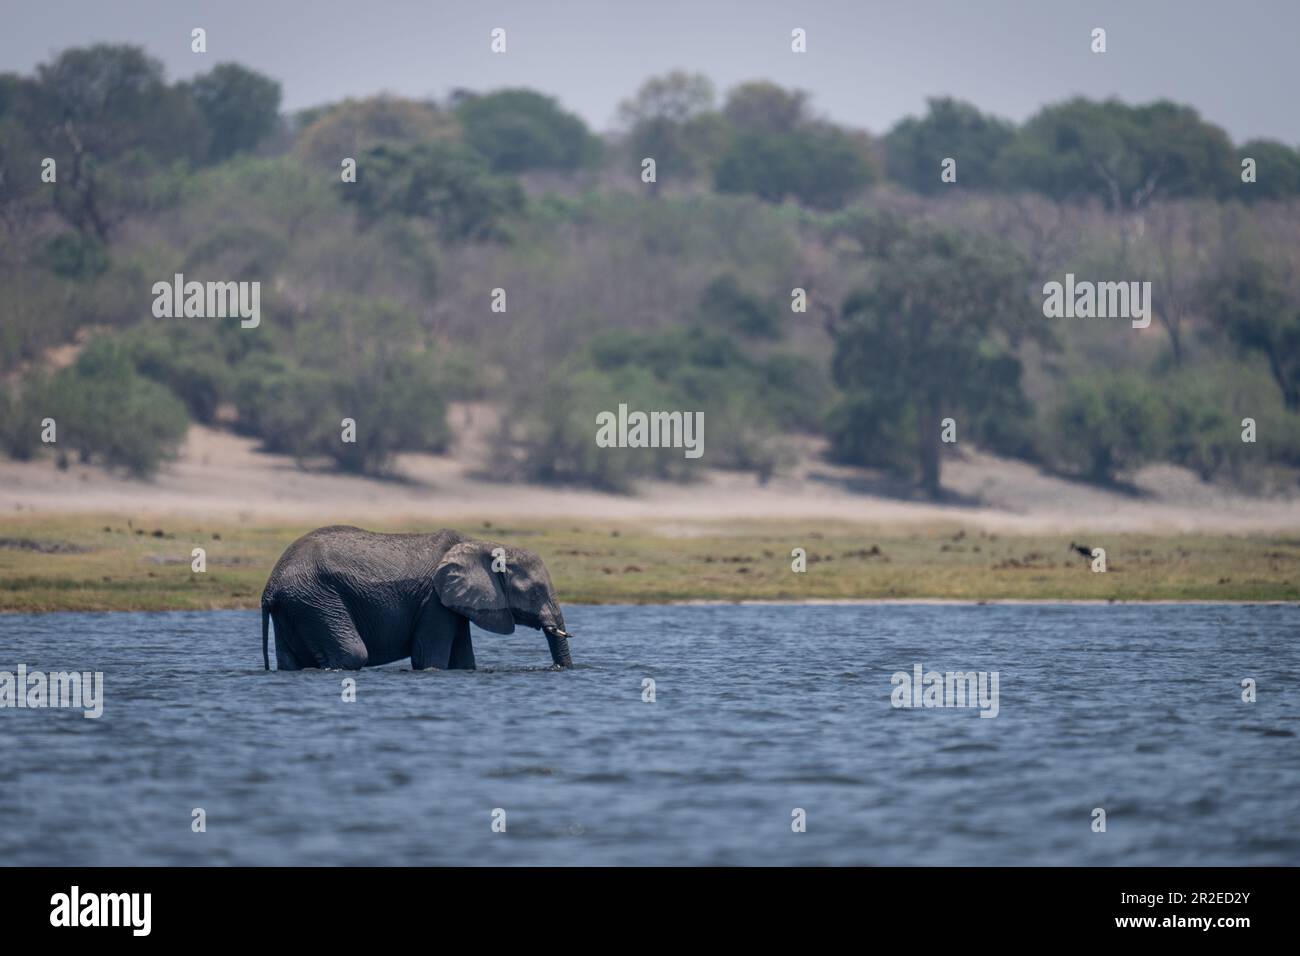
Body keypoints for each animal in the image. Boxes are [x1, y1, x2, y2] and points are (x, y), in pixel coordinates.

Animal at [261, 526, 572, 671]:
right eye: (535, 591)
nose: (557, 668)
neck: (482, 544)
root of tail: (270, 588)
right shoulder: (433, 600)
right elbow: (428, 659)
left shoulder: (450, 603)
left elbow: (463, 661)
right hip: (317, 599)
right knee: (352, 653)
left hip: (297, 606)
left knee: (291, 661)